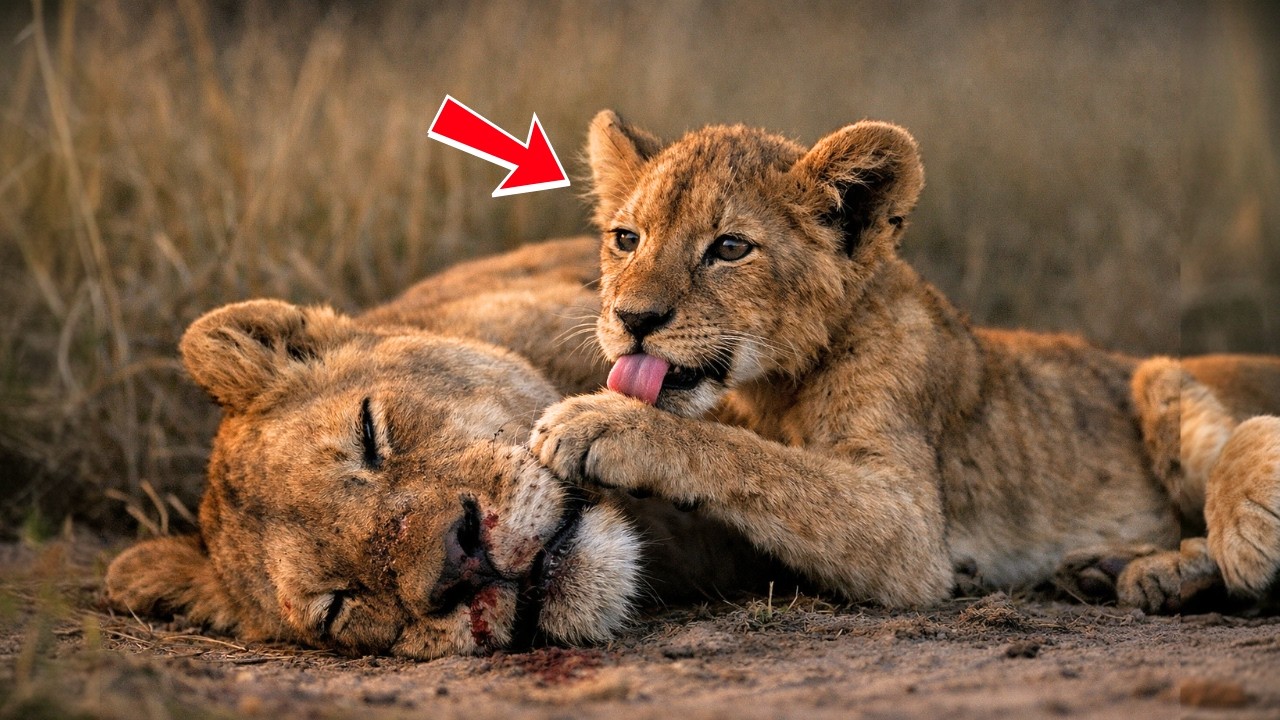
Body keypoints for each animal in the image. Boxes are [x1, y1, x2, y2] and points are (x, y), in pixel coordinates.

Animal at [529, 111, 1280, 614]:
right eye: (626, 239)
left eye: (731, 248)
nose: (632, 320)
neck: (765, 391)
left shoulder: (910, 528)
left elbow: (758, 461)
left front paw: (599, 423)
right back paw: (1107, 569)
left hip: (1154, 375)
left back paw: (1181, 565)